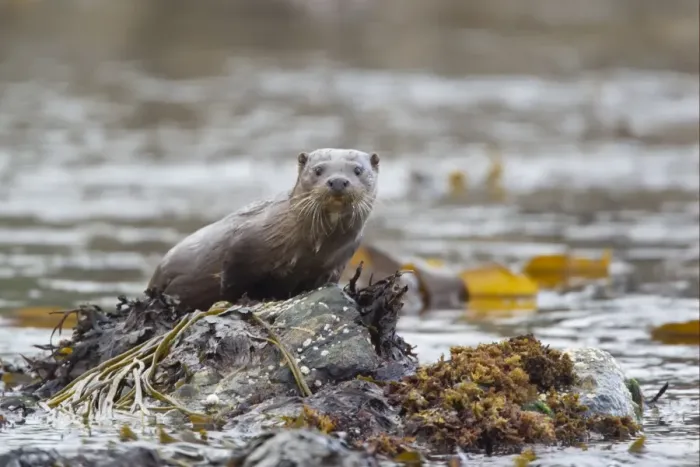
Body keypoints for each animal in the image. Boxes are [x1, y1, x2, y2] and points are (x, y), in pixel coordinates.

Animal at [147, 148, 380, 311]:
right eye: (318, 170)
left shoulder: (338, 263)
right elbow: (231, 280)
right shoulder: (241, 244)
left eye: (358, 170)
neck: (312, 248)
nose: (338, 181)